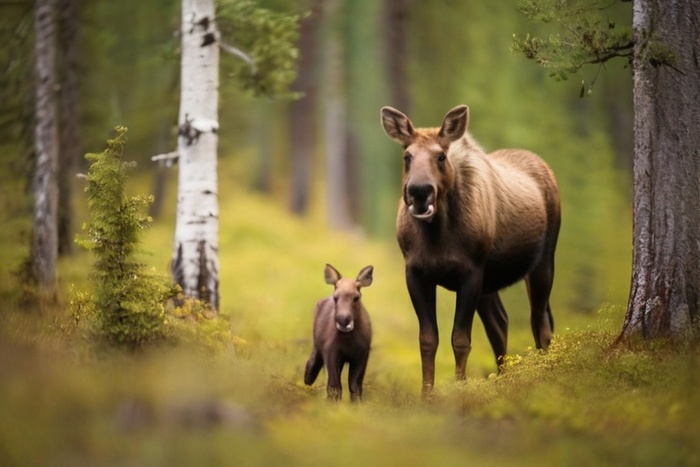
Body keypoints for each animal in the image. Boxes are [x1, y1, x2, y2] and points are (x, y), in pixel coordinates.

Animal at [304, 266, 374, 404]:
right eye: (335, 297)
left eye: (356, 297)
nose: (343, 320)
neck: (348, 342)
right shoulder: (331, 351)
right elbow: (334, 386)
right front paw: (333, 406)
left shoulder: (362, 354)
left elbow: (355, 386)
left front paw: (357, 405)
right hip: (317, 344)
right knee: (312, 361)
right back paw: (308, 378)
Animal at [380, 105, 560, 398]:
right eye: (407, 156)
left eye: (441, 157)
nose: (419, 191)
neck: (436, 237)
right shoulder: (416, 273)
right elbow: (428, 340)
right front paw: (426, 395)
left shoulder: (471, 271)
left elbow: (460, 339)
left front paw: (459, 389)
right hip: (490, 281)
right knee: (501, 323)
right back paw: (503, 378)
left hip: (543, 260)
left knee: (540, 322)